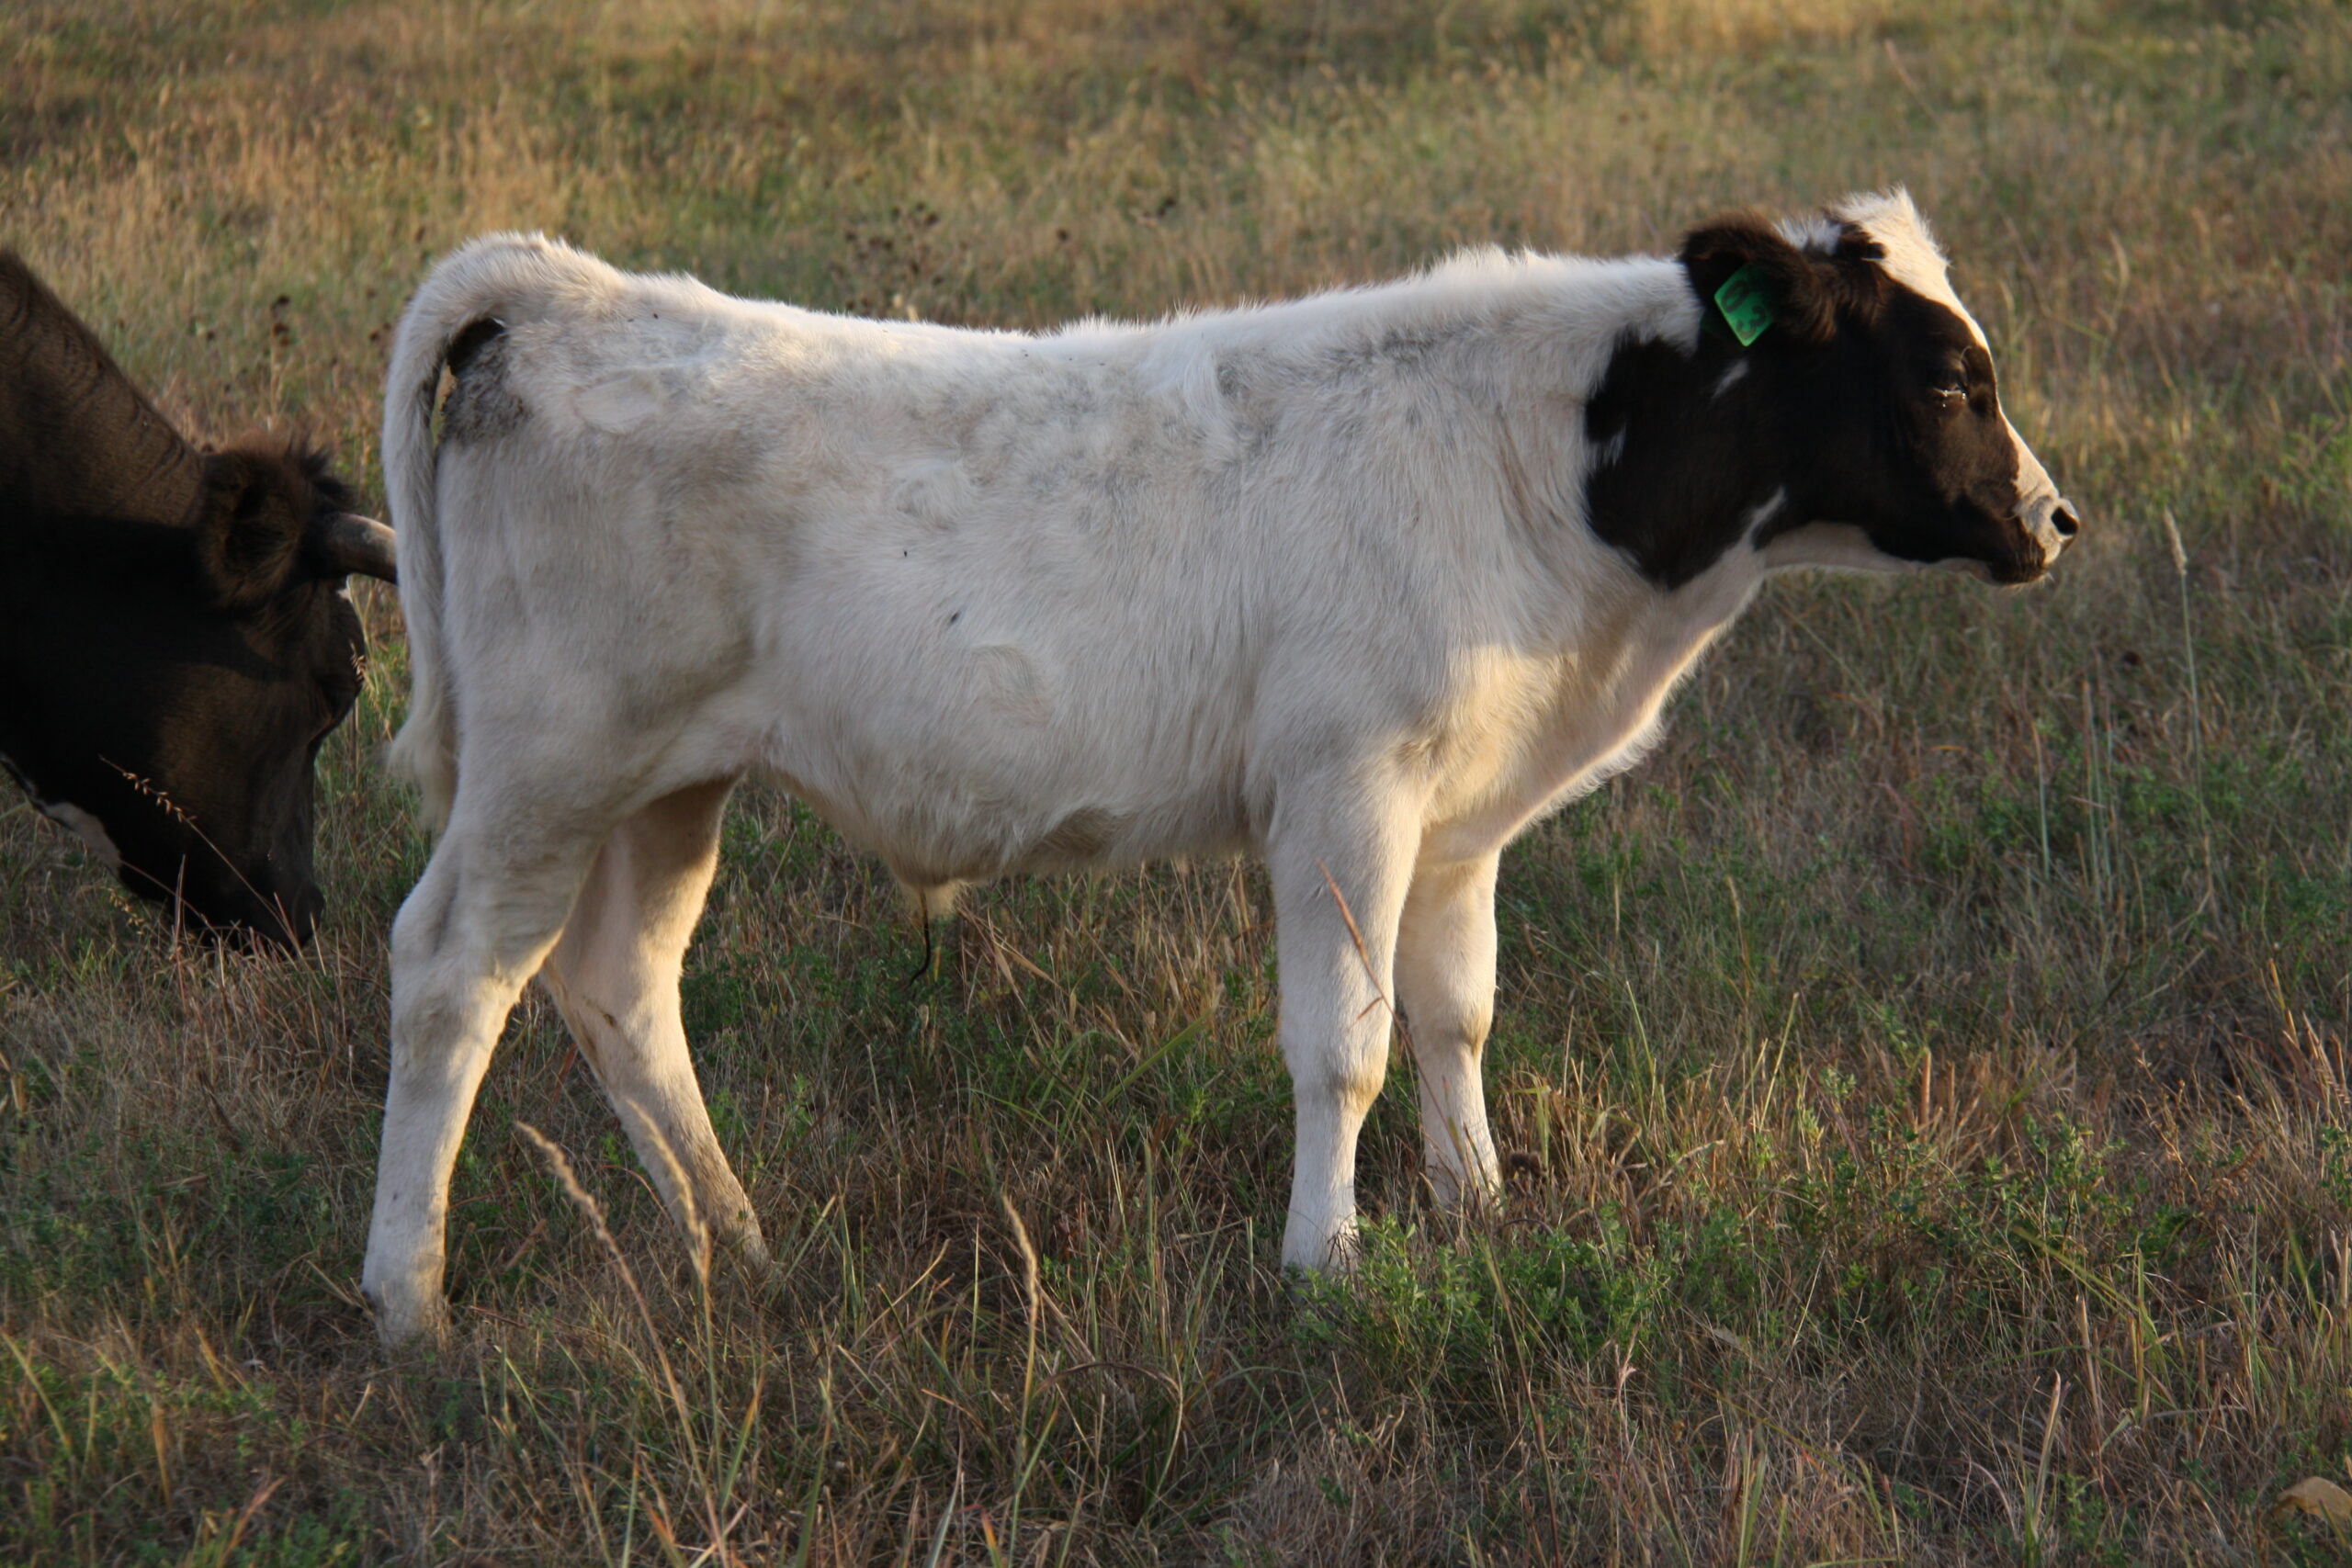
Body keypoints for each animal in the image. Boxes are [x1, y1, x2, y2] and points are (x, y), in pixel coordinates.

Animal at [362, 190, 2079, 1344]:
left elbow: (1457, 1015)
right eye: (1948, 375)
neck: (1545, 467)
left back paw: (738, 1239)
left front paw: (1478, 1209)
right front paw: (1328, 1261)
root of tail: (569, 292)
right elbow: (1347, 1044)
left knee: (618, 985)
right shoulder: (1343, 793)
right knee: (454, 975)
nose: (2054, 520)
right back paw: (408, 1297)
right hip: (550, 765)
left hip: (668, 786)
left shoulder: (1461, 824)